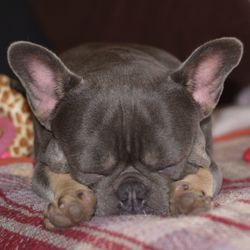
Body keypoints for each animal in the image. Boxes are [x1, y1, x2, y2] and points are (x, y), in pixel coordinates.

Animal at [7, 38, 242, 229]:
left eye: (169, 165)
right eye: (90, 171)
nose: (132, 191)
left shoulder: (208, 160)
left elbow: (203, 173)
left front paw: (189, 193)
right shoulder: (44, 164)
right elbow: (58, 176)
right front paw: (73, 201)